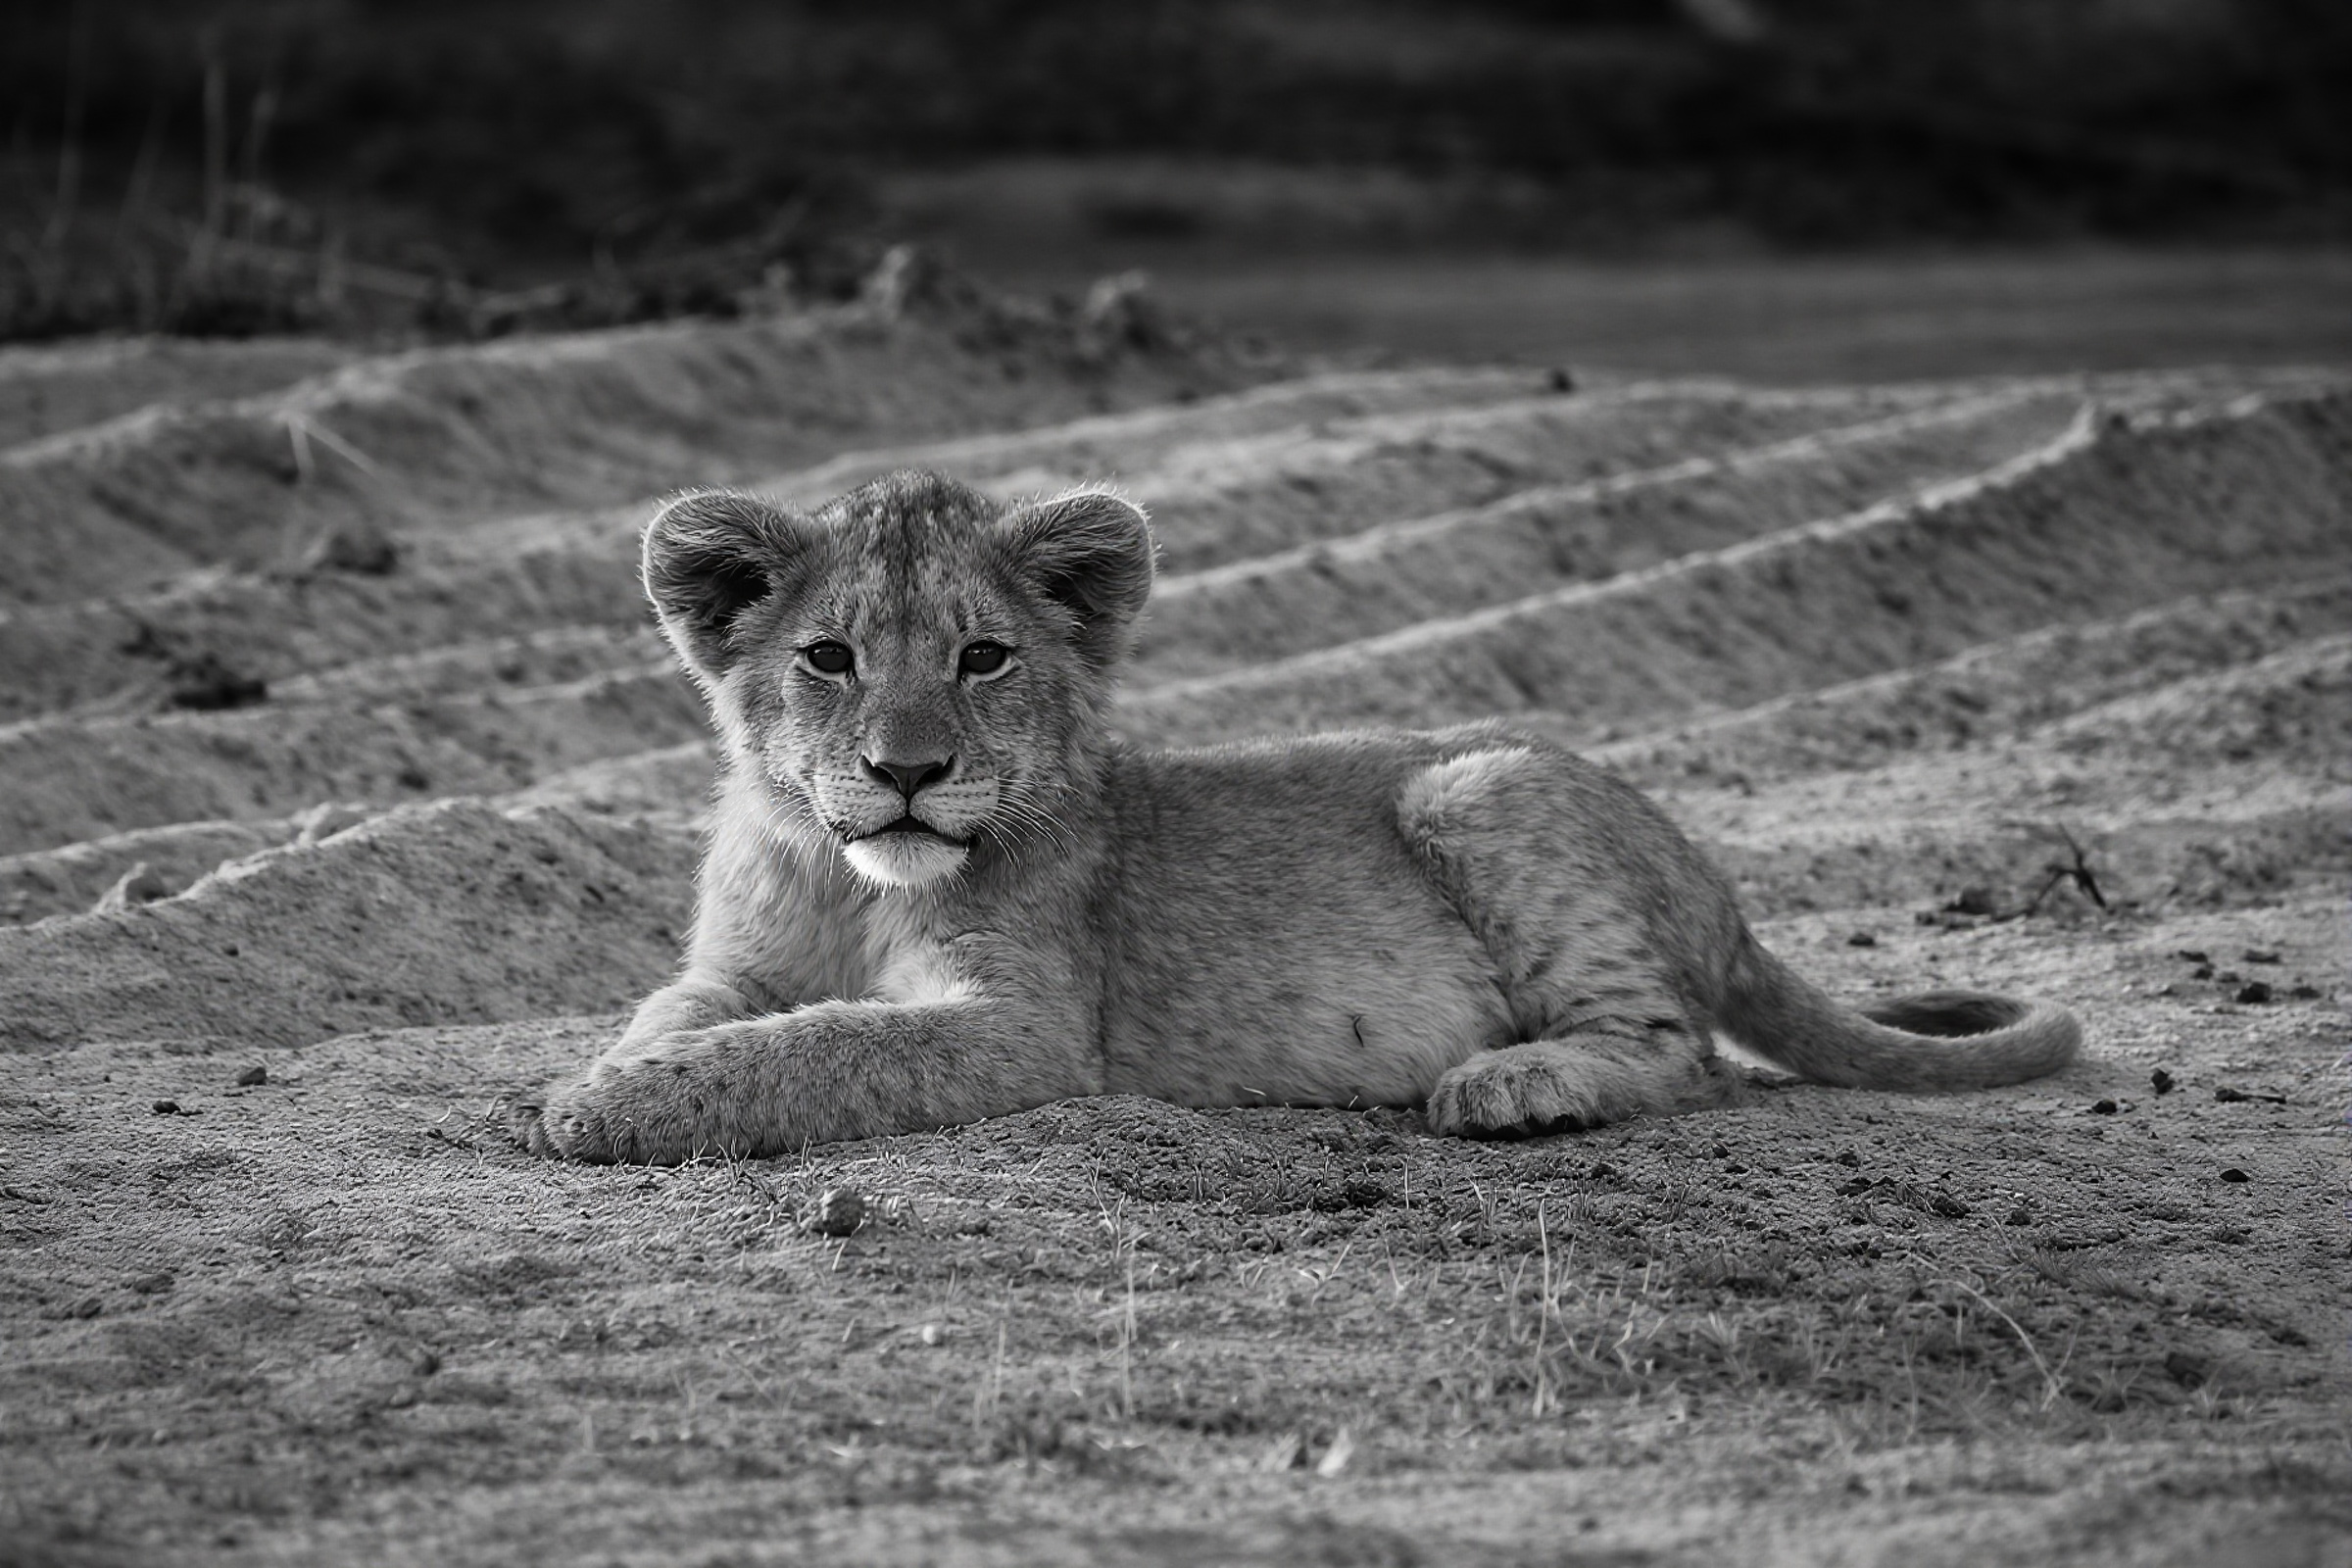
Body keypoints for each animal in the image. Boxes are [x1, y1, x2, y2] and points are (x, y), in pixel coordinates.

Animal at [510, 470, 2078, 1165]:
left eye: (983, 658)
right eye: (828, 659)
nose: (907, 771)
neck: (850, 878)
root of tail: (1723, 896)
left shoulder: (1028, 1026)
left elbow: (820, 1047)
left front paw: (602, 1108)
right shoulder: (738, 962)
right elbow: (689, 1015)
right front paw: (617, 1068)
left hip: (1478, 784)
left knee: (1682, 1051)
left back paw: (1518, 1084)